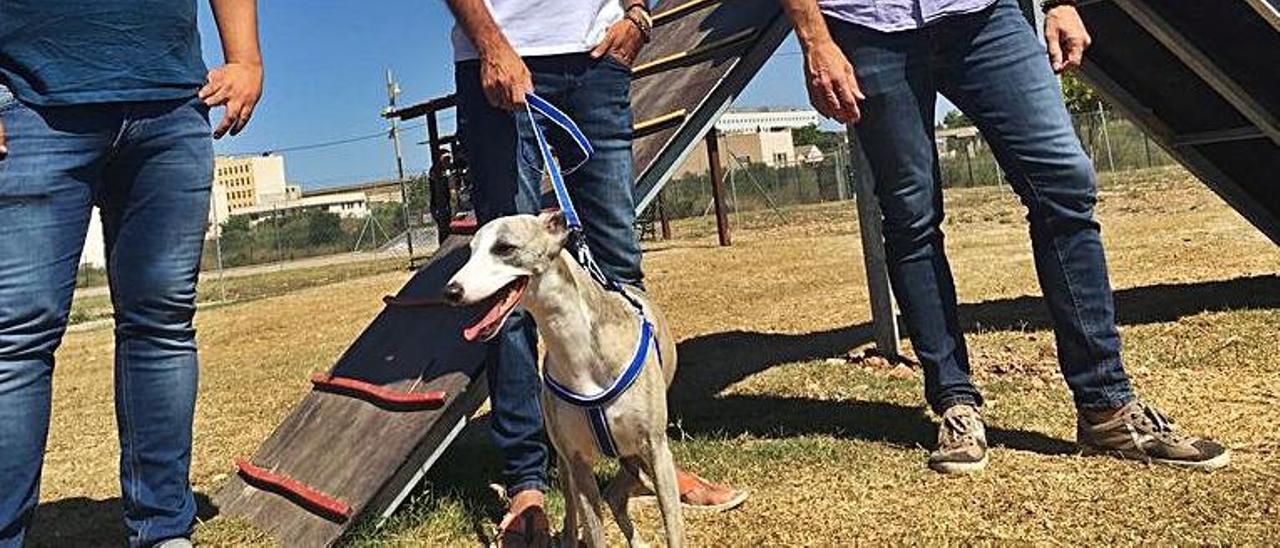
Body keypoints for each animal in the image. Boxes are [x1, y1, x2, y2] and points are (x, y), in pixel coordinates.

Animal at [445, 212, 686, 545]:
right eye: (470, 252)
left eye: (504, 248)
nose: (451, 292)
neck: (579, 352)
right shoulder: (578, 461)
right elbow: (594, 532)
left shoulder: (655, 447)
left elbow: (674, 528)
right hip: (567, 463)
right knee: (583, 509)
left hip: (635, 454)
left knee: (616, 492)